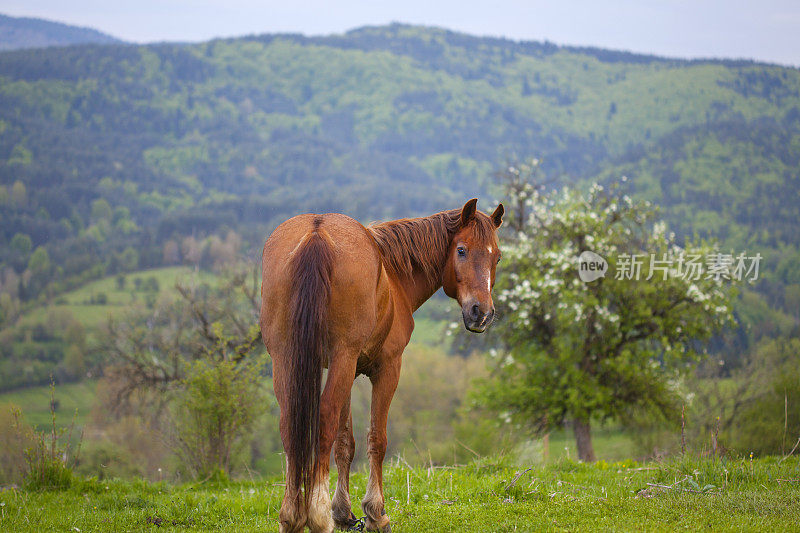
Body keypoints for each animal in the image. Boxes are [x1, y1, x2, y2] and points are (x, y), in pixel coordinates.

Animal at [260, 197, 504, 528]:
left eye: (497, 257)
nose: (482, 313)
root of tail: (316, 232)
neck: (392, 274)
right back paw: (317, 515)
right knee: (324, 418)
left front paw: (344, 513)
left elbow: (344, 442)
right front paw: (375, 512)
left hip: (286, 359)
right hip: (339, 358)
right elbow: (377, 439)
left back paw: (292, 516)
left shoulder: (346, 370)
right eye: (462, 250)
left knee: (290, 424)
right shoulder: (387, 368)